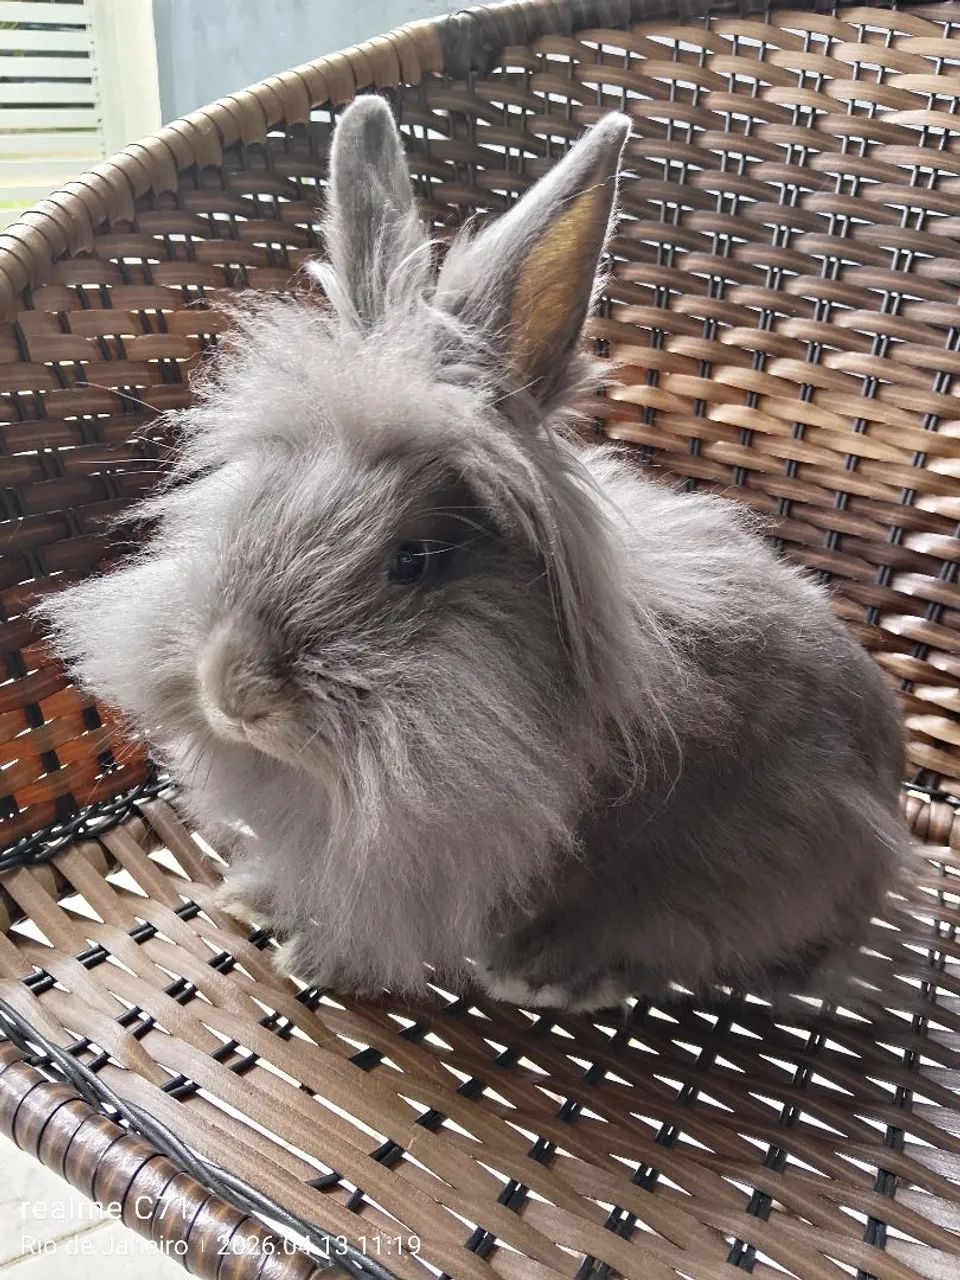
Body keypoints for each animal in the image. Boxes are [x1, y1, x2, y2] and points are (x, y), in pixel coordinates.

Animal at [37, 96, 908, 1011]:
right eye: (258, 498)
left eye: (413, 560)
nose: (233, 690)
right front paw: (253, 898)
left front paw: (313, 957)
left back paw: (550, 973)